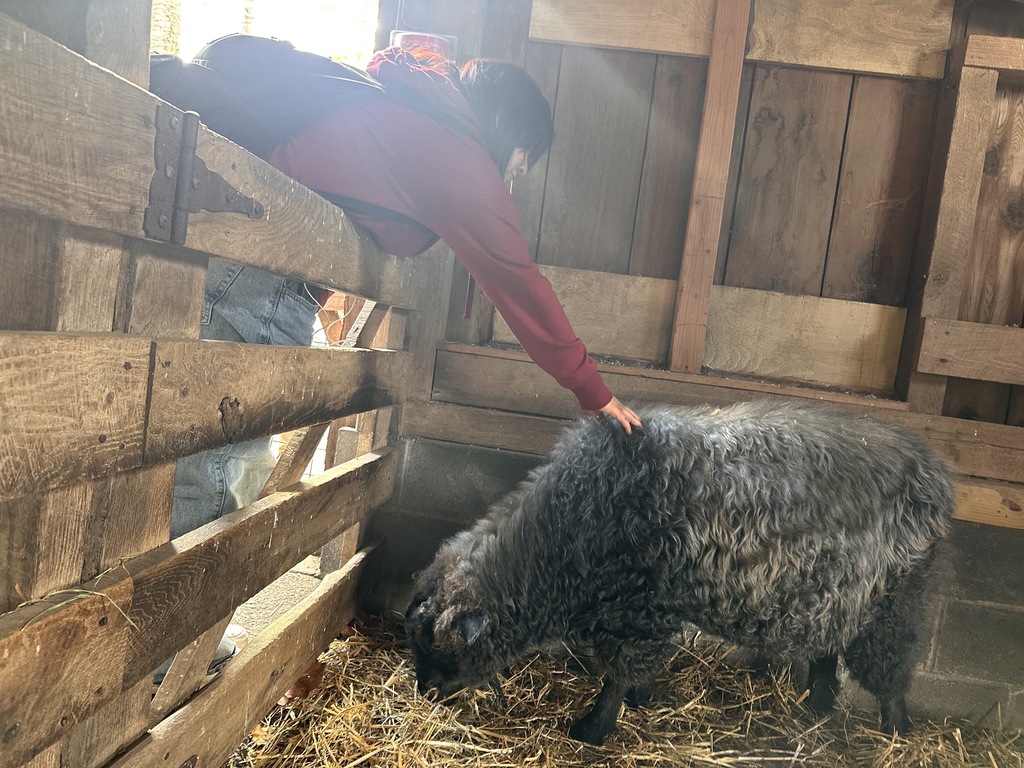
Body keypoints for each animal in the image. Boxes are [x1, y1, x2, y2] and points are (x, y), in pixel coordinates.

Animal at [405, 400, 956, 745]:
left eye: (440, 643)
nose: (425, 691)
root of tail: (937, 476)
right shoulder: (648, 611)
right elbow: (638, 671)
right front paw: (640, 701)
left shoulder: (636, 610)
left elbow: (620, 672)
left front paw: (594, 729)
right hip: (835, 592)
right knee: (828, 646)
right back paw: (818, 704)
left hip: (896, 599)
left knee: (890, 665)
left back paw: (896, 729)